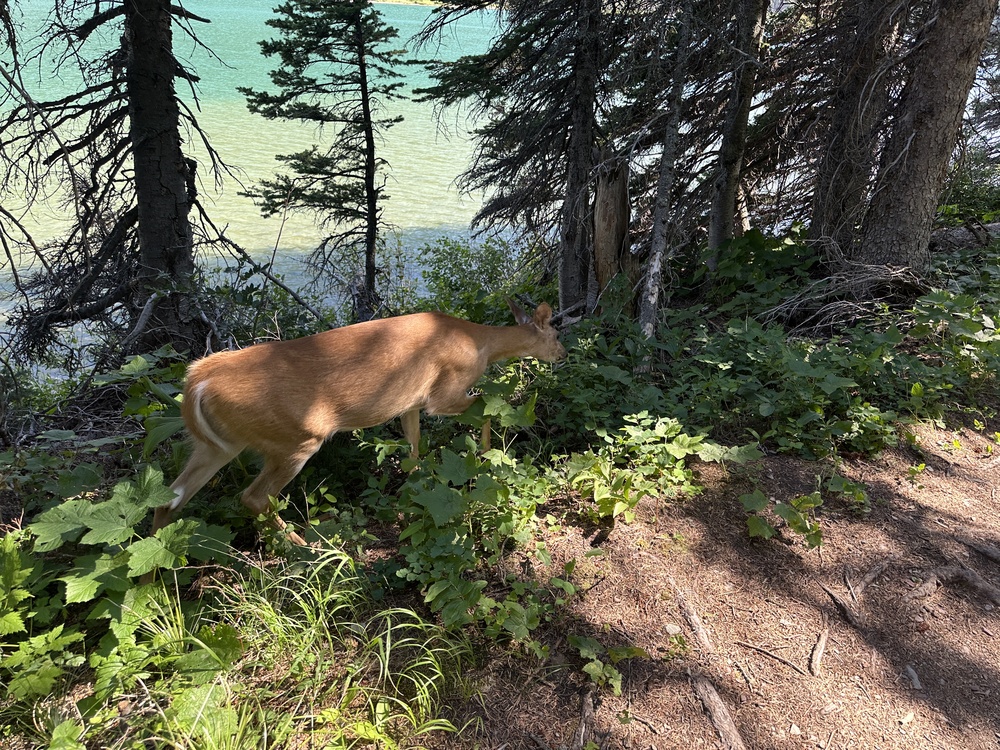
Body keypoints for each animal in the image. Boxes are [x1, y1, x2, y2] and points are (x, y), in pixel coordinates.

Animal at [151, 299, 566, 544]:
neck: (479, 342)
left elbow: (414, 445)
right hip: (295, 438)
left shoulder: (409, 402)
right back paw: (307, 548)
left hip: (217, 444)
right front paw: (486, 456)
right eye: (556, 332)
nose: (563, 353)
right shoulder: (444, 392)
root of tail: (198, 382)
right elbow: (484, 408)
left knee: (169, 498)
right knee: (253, 496)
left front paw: (415, 487)